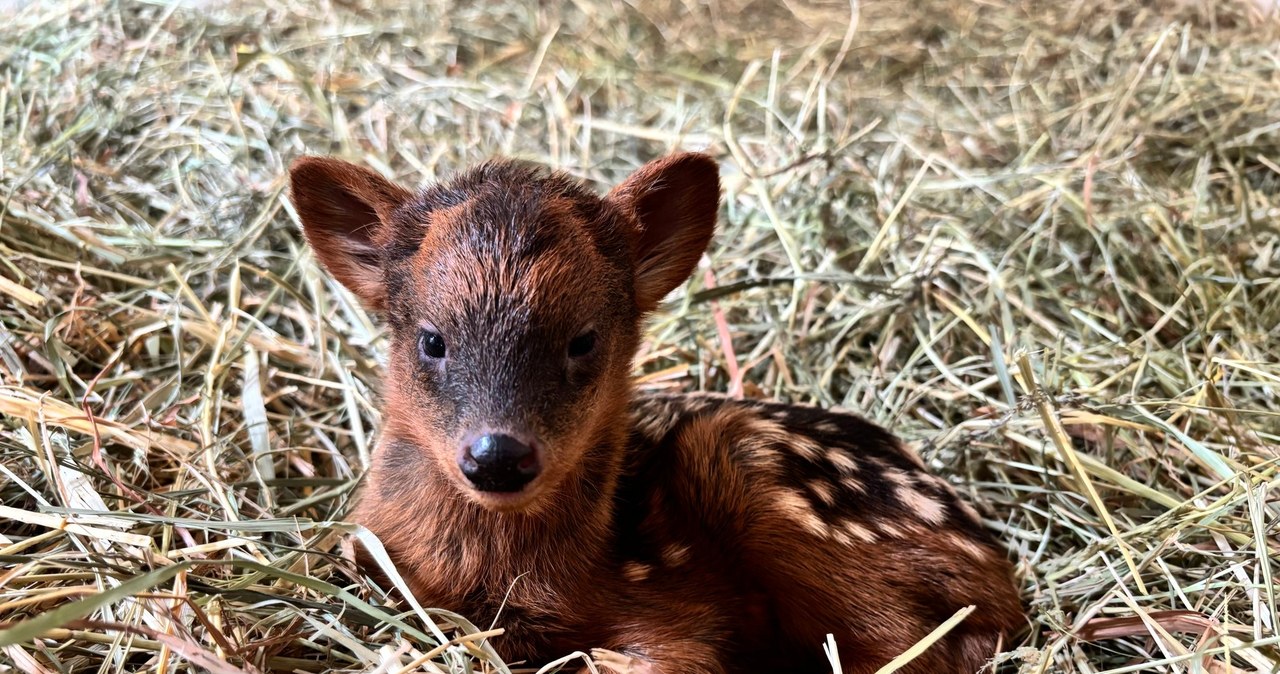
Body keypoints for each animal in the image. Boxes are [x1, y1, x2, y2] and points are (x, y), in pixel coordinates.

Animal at [290, 154, 1018, 674]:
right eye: (432, 340)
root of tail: (996, 565)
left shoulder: (676, 622)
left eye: (584, 340)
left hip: (749, 462)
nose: (498, 456)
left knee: (913, 646)